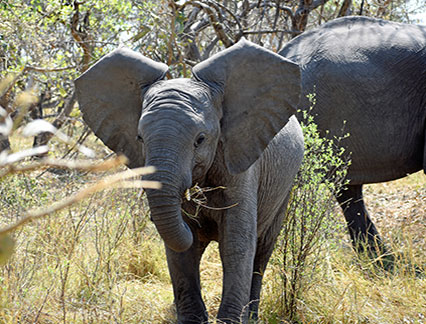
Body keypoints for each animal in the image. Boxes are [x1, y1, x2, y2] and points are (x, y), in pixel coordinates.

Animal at [75, 39, 302, 322]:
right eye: (139, 138)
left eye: (200, 139)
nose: (196, 203)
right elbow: (182, 250)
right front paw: (193, 320)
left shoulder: (242, 158)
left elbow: (236, 241)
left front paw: (229, 321)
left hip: (284, 189)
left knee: (262, 250)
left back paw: (251, 315)